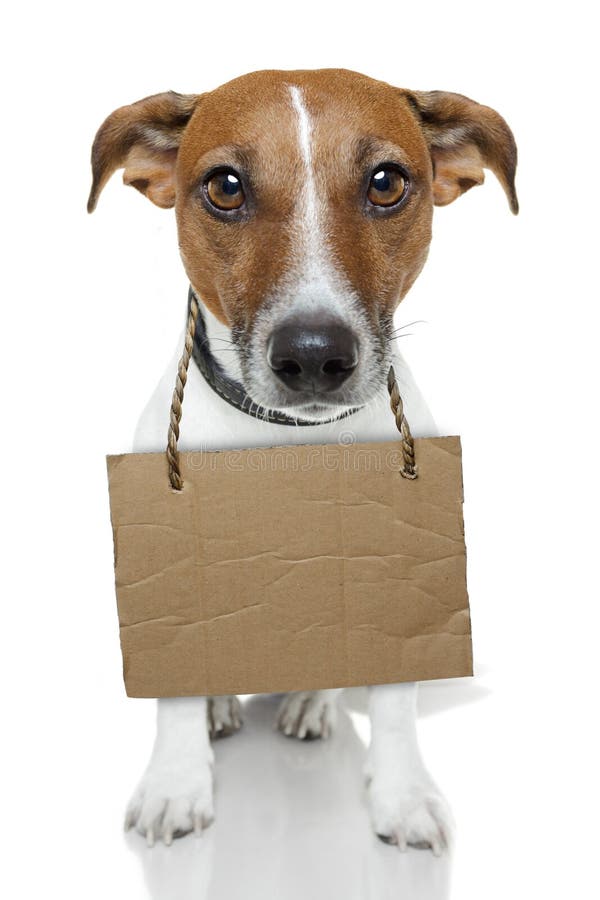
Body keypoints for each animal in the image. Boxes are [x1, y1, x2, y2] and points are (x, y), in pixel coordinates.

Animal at [88, 67, 516, 856]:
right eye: (225, 187)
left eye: (387, 182)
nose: (314, 355)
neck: (290, 448)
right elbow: (172, 685)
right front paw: (175, 787)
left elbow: (396, 694)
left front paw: (403, 797)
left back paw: (311, 702)